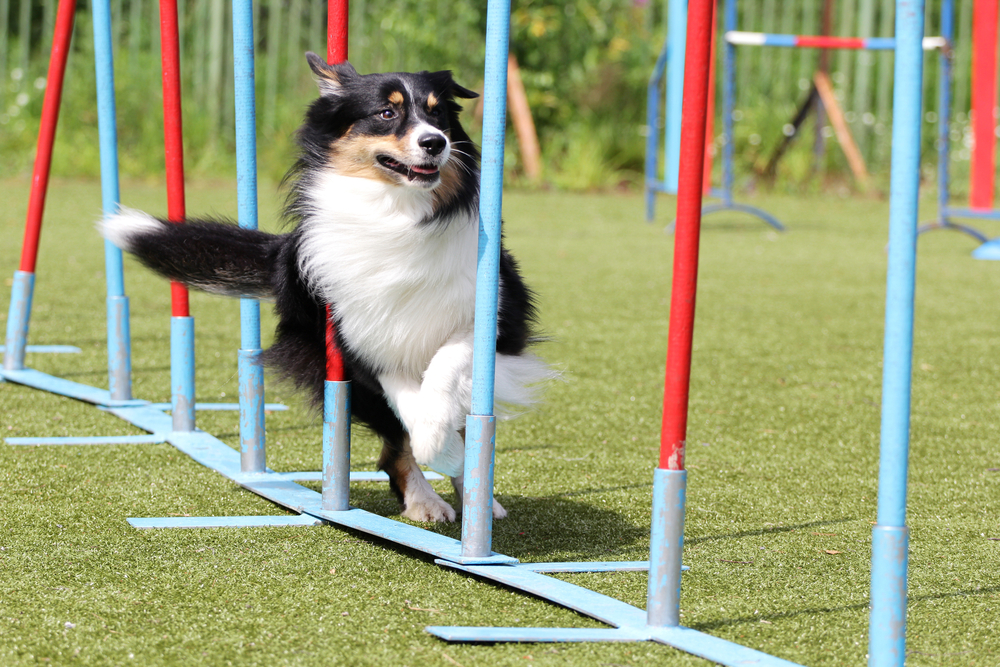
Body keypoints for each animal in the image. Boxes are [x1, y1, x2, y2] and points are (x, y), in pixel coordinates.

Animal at [100, 54, 552, 524]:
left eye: (438, 113)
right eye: (386, 113)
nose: (435, 143)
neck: (397, 212)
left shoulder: (499, 317)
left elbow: (446, 364)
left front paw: (440, 440)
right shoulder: (357, 339)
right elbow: (405, 401)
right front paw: (437, 444)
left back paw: (478, 500)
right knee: (393, 448)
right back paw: (426, 499)